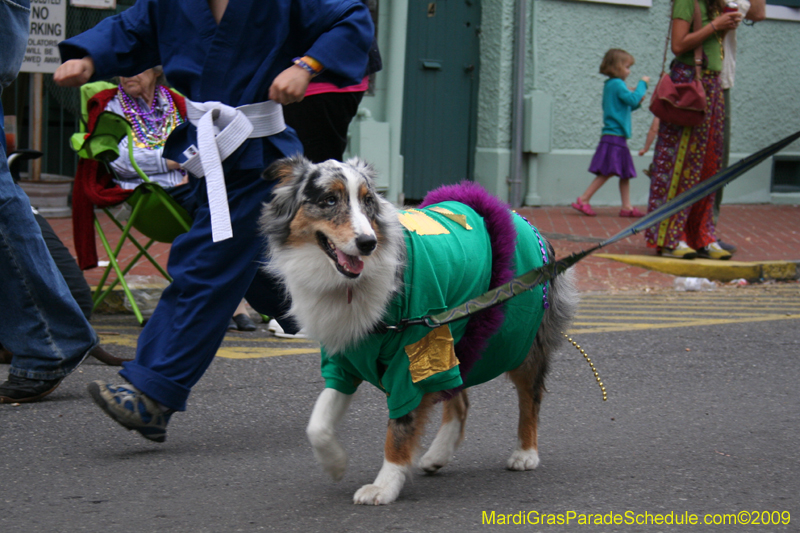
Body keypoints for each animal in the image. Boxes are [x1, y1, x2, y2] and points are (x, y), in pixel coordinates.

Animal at [260, 155, 580, 502]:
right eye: (330, 199)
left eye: (368, 201)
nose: (368, 243)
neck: (349, 284)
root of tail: (528, 224)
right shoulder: (345, 357)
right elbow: (318, 423)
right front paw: (335, 464)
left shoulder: (413, 356)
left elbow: (400, 428)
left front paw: (384, 486)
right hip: (457, 336)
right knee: (459, 398)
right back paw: (438, 454)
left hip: (515, 339)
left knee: (530, 395)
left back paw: (525, 453)